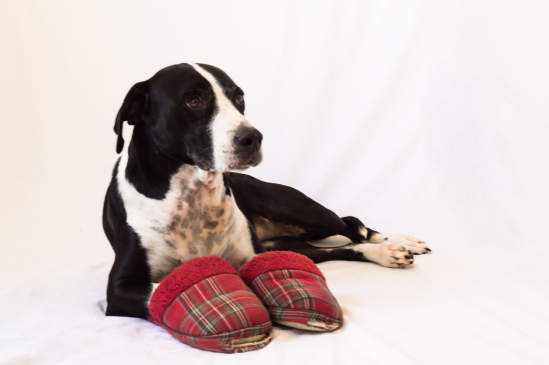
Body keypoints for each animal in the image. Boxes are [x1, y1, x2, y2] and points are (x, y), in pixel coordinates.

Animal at [101, 64, 428, 318]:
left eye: (238, 96)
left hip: (294, 207)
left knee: (350, 225)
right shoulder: (120, 288)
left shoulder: (255, 255)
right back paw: (386, 252)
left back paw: (398, 243)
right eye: (193, 100)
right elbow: (159, 290)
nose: (252, 138)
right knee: (339, 245)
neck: (192, 193)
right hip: (290, 242)